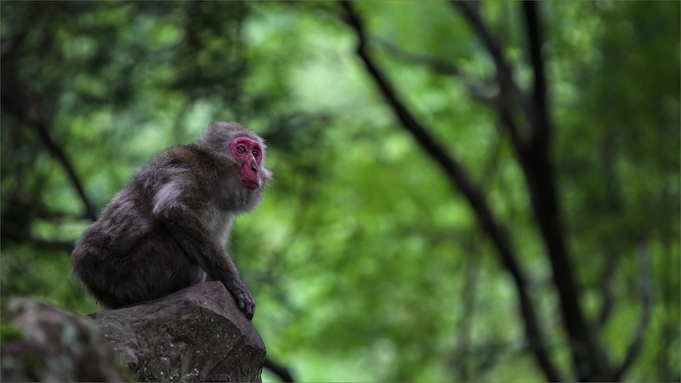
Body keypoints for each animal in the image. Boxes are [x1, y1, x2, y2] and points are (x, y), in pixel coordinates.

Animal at [69, 121, 270, 320]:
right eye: (241, 149)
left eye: (255, 153)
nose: (254, 168)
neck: (216, 170)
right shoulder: (200, 173)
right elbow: (172, 209)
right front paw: (233, 282)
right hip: (131, 276)